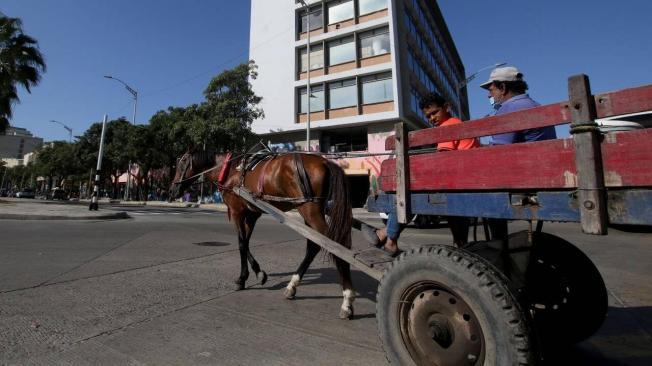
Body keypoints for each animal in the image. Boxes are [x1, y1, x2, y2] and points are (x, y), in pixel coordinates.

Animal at [166, 150, 354, 318]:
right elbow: (246, 242)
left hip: (310, 210)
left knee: (336, 245)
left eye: (181, 164)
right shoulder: (252, 213)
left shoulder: (237, 211)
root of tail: (325, 162)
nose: (171, 191)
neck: (230, 171)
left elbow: (241, 244)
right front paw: (258, 273)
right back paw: (292, 286)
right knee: (314, 246)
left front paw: (242, 279)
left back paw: (347, 300)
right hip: (310, 211)